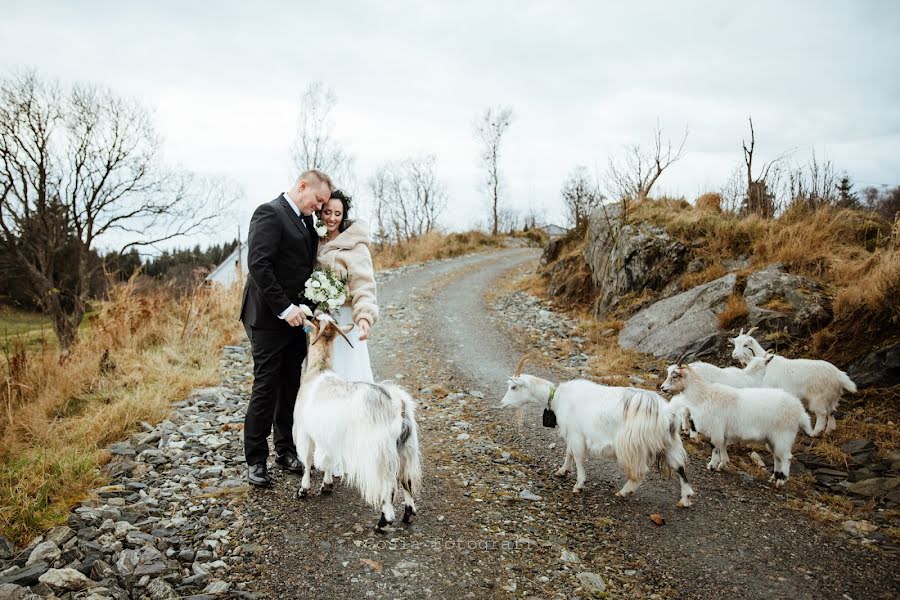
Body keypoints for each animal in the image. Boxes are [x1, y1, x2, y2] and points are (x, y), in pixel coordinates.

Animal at [294, 314, 424, 528]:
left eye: (315, 318)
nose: (306, 315)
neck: (319, 370)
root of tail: (399, 406)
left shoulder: (306, 431)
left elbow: (307, 459)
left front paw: (303, 490)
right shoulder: (330, 433)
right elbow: (328, 457)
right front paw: (326, 485)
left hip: (379, 451)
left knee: (387, 483)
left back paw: (384, 521)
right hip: (406, 447)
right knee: (406, 479)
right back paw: (408, 513)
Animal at [500, 356, 696, 506]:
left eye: (514, 387)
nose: (502, 404)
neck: (558, 398)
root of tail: (668, 412)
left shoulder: (576, 435)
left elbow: (577, 456)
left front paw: (579, 484)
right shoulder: (572, 434)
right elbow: (568, 452)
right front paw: (562, 471)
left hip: (632, 444)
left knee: (640, 471)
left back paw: (624, 491)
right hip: (669, 442)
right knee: (679, 466)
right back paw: (685, 499)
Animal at [656, 364, 812, 486]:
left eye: (675, 376)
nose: (662, 388)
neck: (704, 395)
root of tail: (799, 409)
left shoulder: (716, 428)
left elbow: (714, 447)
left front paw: (712, 465)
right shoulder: (723, 432)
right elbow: (723, 447)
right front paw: (722, 464)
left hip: (784, 435)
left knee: (786, 457)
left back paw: (781, 480)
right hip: (772, 439)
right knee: (777, 457)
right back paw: (774, 477)